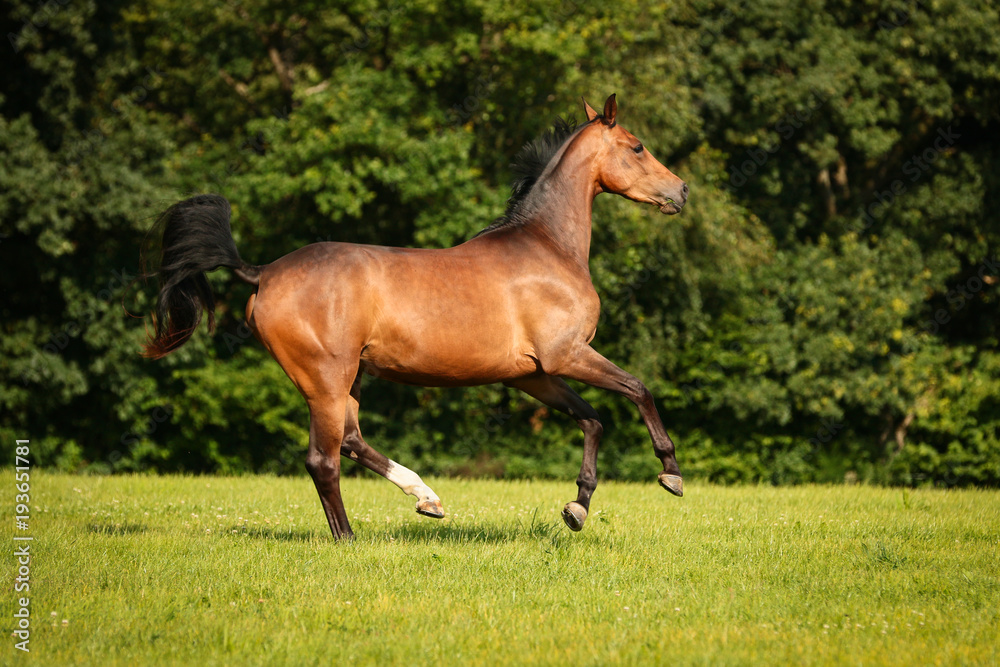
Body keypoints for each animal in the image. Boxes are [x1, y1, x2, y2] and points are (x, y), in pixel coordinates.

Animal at [143, 94, 688, 540]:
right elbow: (638, 389)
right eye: (637, 147)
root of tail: (263, 273)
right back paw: (350, 539)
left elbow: (592, 420)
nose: (681, 192)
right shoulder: (567, 355)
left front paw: (577, 507)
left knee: (351, 441)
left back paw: (427, 499)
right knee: (324, 459)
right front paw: (670, 473)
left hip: (349, 379)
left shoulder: (531, 375)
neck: (547, 247)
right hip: (325, 380)